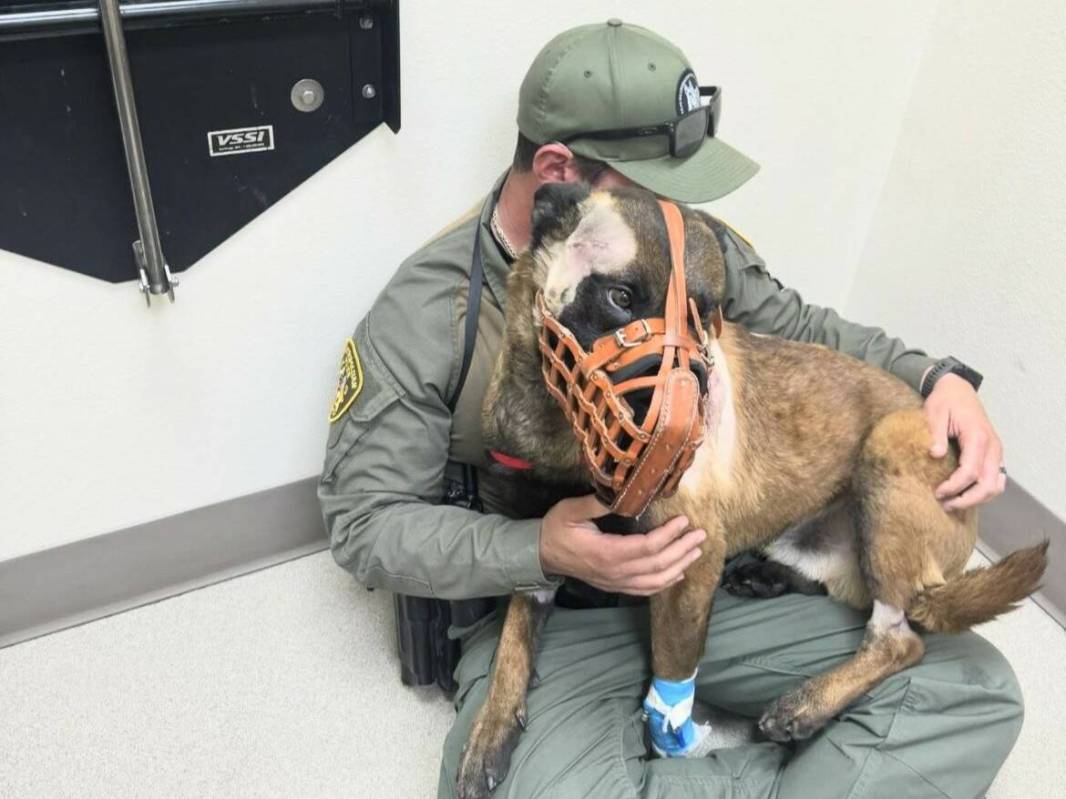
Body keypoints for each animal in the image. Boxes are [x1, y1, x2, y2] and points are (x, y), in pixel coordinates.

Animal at [454, 183, 1044, 799]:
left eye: (705, 316)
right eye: (621, 296)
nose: (692, 397)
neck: (564, 439)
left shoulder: (689, 562)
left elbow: (671, 671)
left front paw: (667, 738)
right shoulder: (543, 545)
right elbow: (512, 642)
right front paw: (491, 726)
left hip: (887, 448)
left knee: (898, 637)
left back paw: (806, 702)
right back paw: (767, 577)